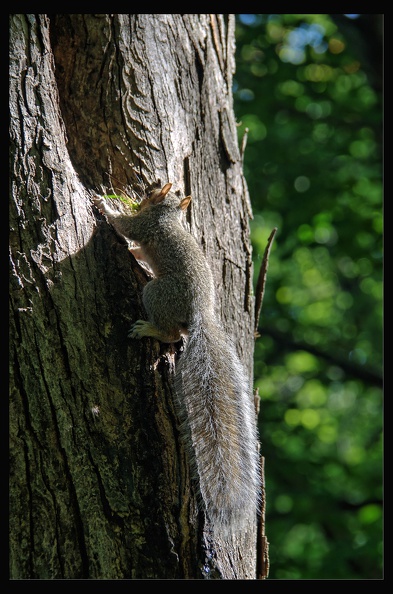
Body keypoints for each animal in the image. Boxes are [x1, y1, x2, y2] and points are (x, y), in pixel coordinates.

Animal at [92, 183, 260, 536]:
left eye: (153, 192)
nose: (143, 192)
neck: (168, 216)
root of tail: (198, 316)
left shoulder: (145, 226)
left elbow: (126, 227)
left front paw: (105, 204)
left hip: (158, 293)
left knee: (170, 334)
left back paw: (149, 329)